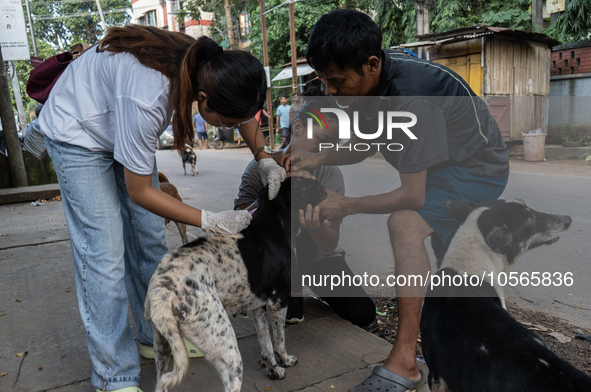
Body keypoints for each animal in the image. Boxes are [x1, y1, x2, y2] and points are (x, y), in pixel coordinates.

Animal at [145, 178, 328, 392]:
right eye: (309, 183)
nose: (326, 191)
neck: (275, 220)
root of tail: (164, 288)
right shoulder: (278, 302)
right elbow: (279, 340)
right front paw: (285, 360)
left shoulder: (258, 306)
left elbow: (266, 344)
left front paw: (273, 370)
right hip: (228, 353)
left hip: (162, 346)